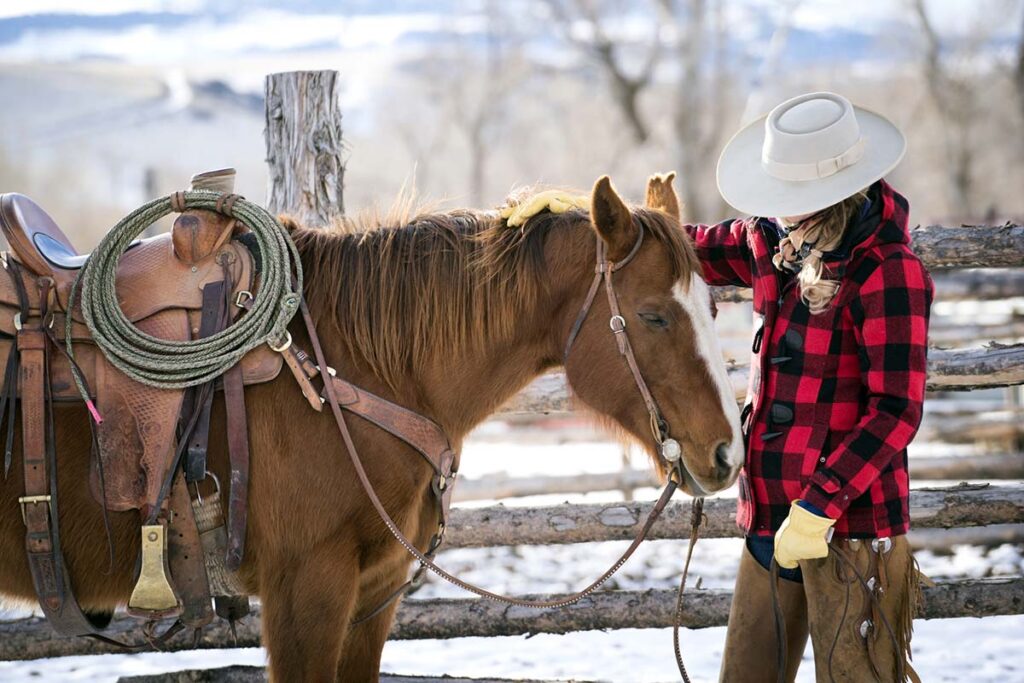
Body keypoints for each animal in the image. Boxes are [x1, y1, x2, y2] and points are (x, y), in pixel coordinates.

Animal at [0, 175, 741, 679]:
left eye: (712, 306)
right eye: (652, 315)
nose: (726, 453)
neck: (351, 365)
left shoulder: (372, 598)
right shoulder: (306, 593)